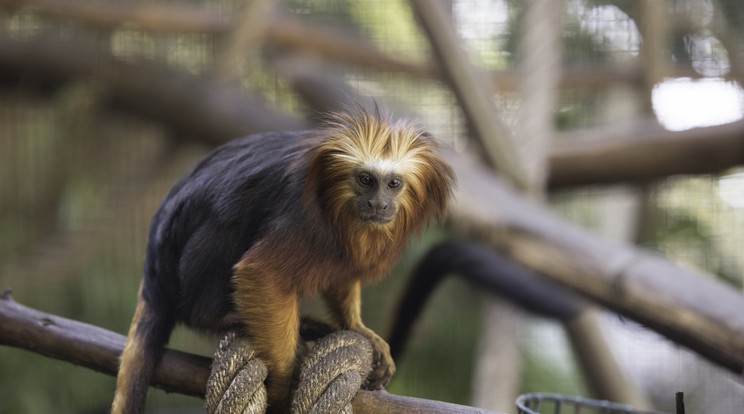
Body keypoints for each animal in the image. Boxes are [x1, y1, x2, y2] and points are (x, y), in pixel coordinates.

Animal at [112, 108, 456, 412]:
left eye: (393, 184)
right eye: (366, 180)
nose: (378, 204)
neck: (338, 210)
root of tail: (153, 274)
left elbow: (342, 274)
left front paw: (358, 327)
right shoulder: (304, 221)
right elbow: (260, 273)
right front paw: (282, 383)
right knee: (224, 225)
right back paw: (224, 317)